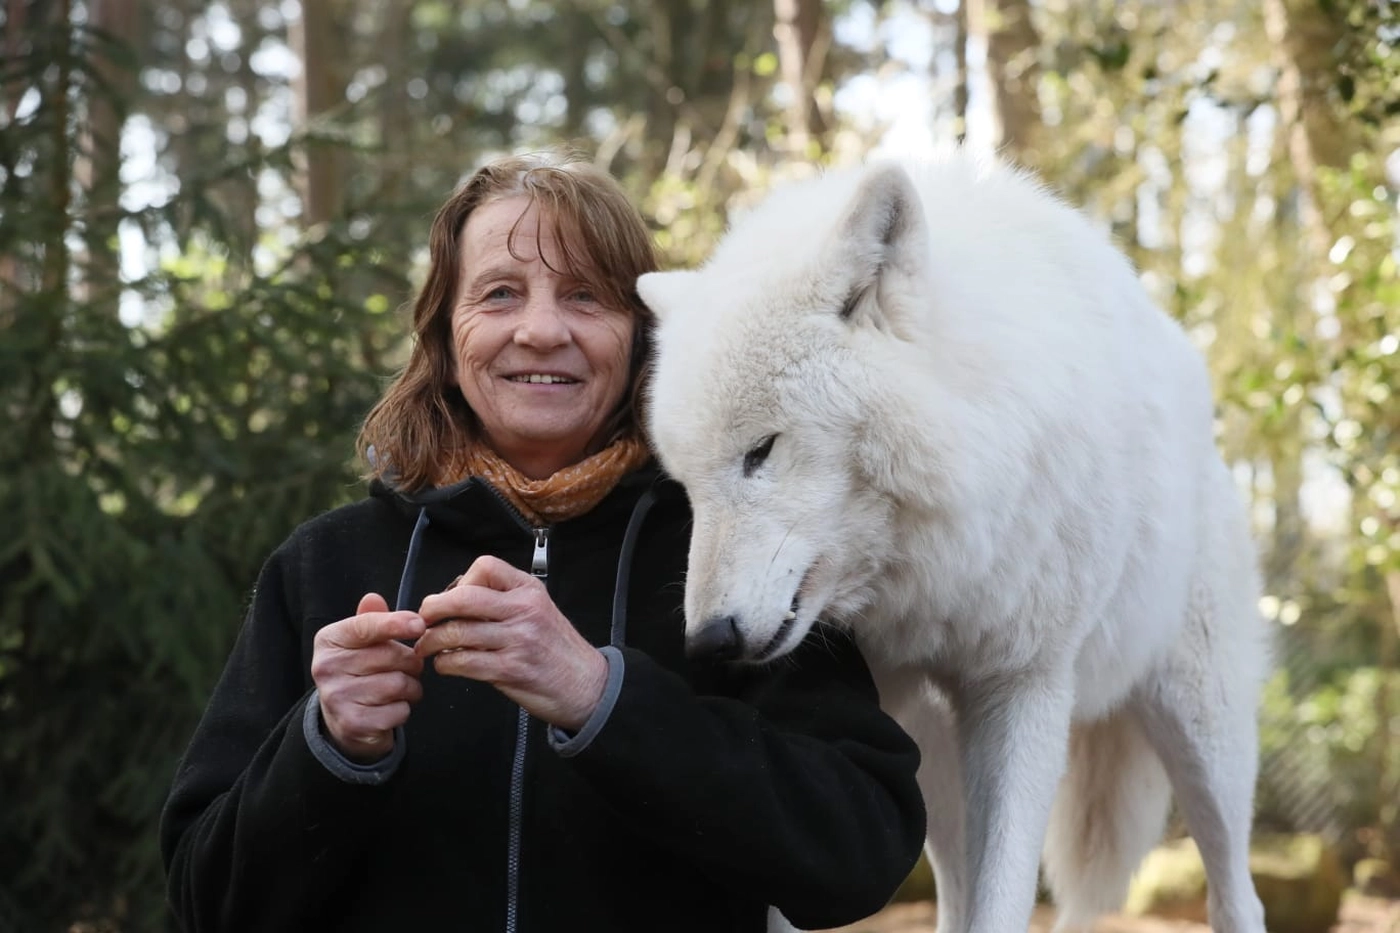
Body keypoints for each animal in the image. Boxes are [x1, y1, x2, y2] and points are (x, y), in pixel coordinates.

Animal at [636, 150, 1270, 933]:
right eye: (684, 485)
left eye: (761, 450)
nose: (708, 641)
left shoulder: (1024, 686)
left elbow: (1004, 900)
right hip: (929, 753)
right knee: (955, 892)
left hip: (1202, 729)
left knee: (1235, 890)